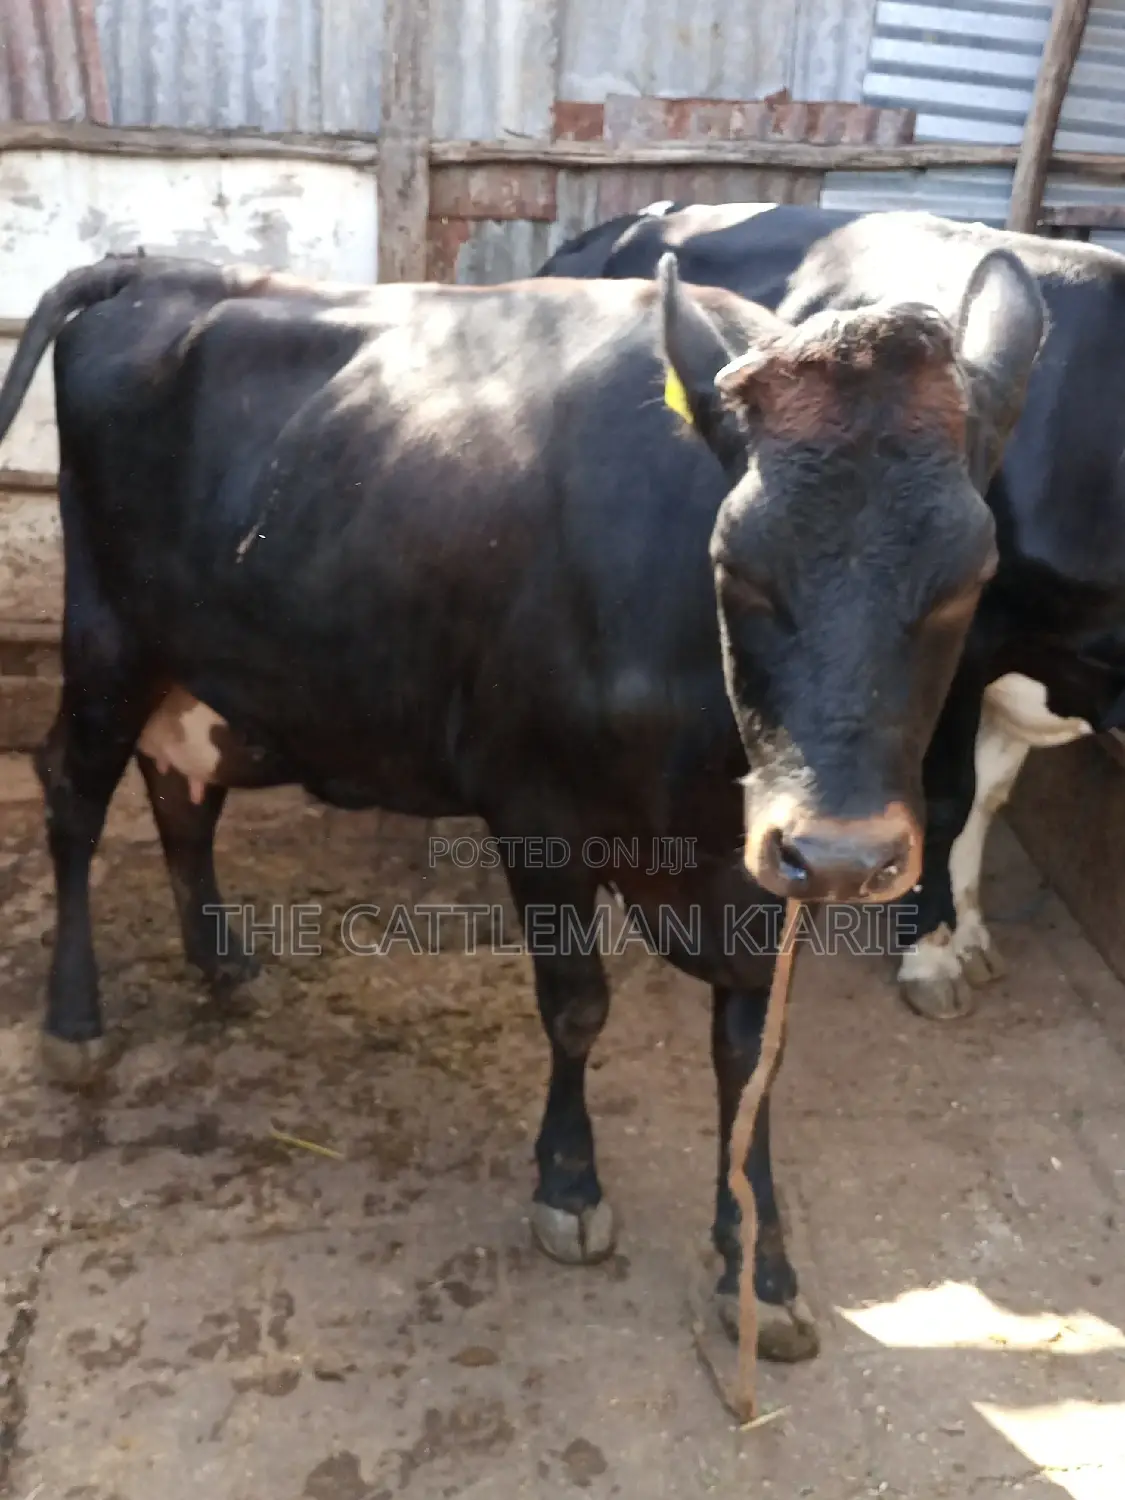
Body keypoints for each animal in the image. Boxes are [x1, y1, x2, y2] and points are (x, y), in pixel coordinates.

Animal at [0, 246, 1044, 1364]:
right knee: (74, 796)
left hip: (203, 671)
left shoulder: (757, 872)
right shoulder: (538, 812)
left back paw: (222, 959)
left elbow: (750, 1052)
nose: (844, 857)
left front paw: (758, 1266)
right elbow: (577, 1006)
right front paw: (570, 1185)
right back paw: (74, 1020)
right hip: (108, 644)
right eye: (735, 564)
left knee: (183, 793)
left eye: (970, 576)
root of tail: (156, 265)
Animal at [537, 202, 1125, 1022]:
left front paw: (970, 929)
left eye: (969, 573)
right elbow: (952, 798)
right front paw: (931, 953)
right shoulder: (977, 647)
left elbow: (992, 795)